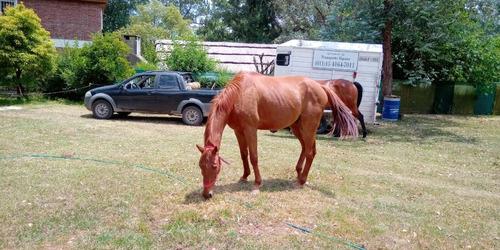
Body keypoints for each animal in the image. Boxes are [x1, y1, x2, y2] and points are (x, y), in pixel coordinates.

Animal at [196, 72, 360, 199]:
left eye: (215, 166)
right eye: (200, 166)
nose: (207, 194)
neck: (240, 93)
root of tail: (321, 86)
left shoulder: (250, 129)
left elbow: (254, 157)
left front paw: (257, 184)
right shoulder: (238, 130)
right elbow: (244, 154)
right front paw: (244, 176)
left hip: (309, 127)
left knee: (310, 152)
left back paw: (302, 181)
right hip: (297, 127)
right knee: (305, 148)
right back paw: (300, 175)